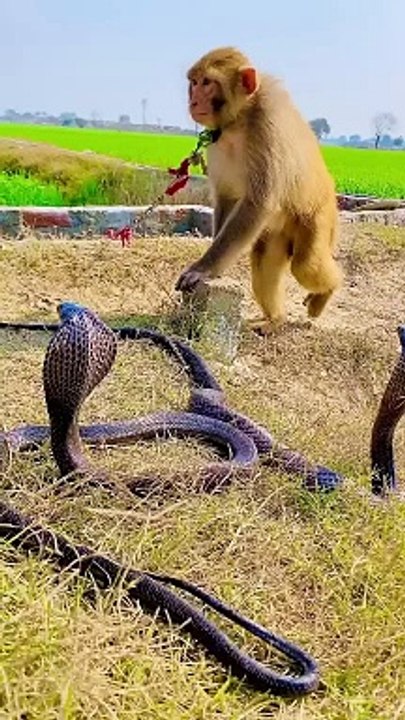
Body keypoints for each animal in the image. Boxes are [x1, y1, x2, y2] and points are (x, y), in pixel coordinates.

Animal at [175, 47, 343, 331]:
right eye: (194, 83)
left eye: (207, 83)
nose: (194, 101)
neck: (240, 119)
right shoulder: (216, 138)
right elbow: (227, 196)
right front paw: (217, 267)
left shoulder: (267, 126)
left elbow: (258, 202)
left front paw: (204, 268)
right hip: (278, 232)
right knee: (264, 260)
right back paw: (275, 320)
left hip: (320, 216)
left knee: (305, 266)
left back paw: (328, 291)